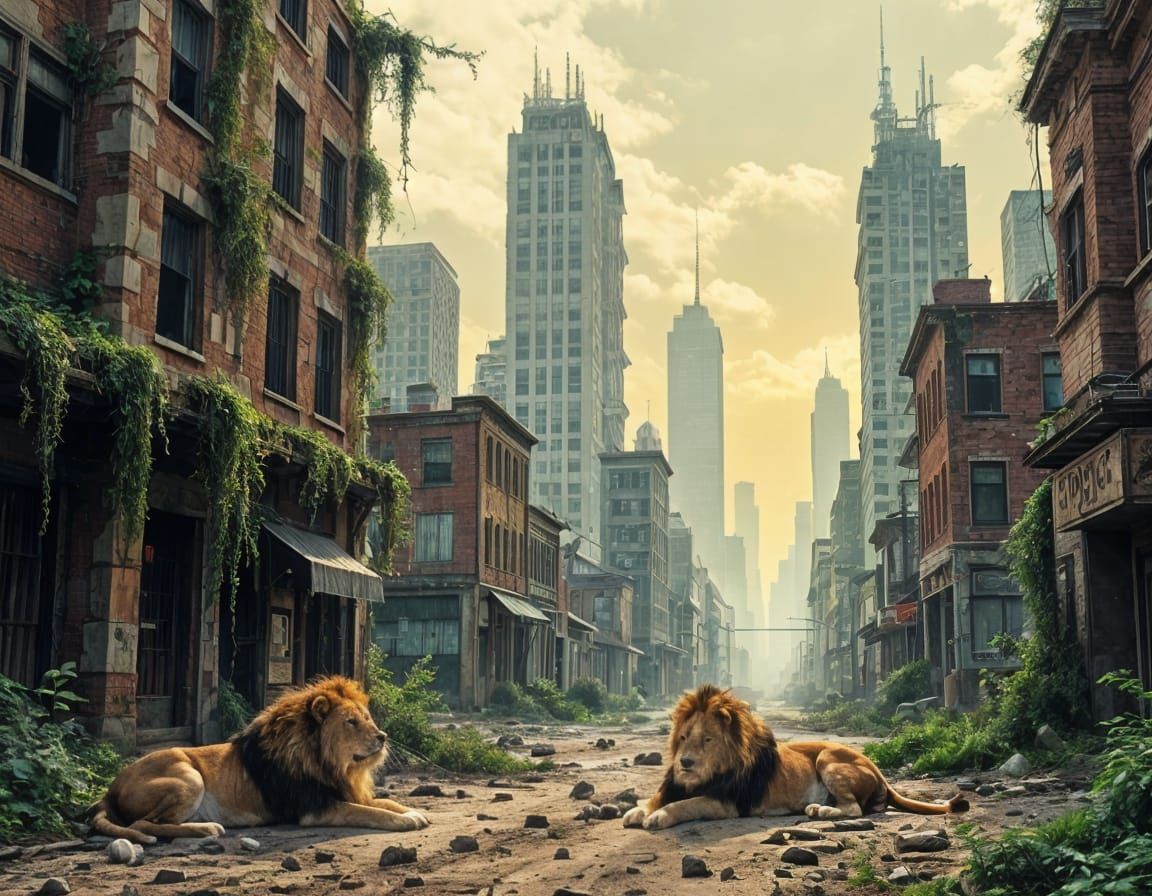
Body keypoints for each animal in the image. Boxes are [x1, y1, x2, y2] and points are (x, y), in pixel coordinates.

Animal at [89, 676, 429, 844]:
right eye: (351, 722)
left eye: (367, 718)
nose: (383, 736)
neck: (332, 764)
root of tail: (110, 789)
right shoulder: (315, 809)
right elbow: (371, 813)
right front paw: (405, 821)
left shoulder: (343, 791)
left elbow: (385, 802)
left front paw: (416, 812)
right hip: (188, 776)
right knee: (142, 823)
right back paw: (208, 829)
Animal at [622, 684, 969, 830]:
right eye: (683, 738)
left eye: (707, 739)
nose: (685, 763)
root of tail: (879, 770)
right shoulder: (677, 785)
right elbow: (659, 797)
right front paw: (637, 811)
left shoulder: (728, 803)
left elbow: (685, 804)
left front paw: (657, 817)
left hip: (828, 758)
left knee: (855, 809)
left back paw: (820, 810)